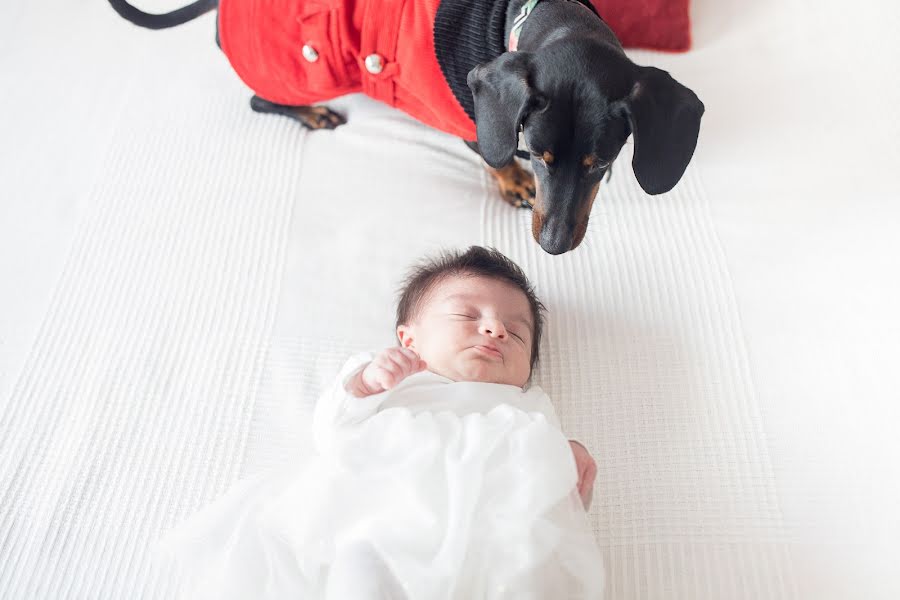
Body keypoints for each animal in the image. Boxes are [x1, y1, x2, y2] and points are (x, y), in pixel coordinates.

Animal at [109, 0, 704, 255]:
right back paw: (313, 114)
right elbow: (487, 152)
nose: (554, 248)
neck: (525, 16)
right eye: (537, 156)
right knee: (261, 100)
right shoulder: (469, 112)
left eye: (600, 164)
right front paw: (511, 181)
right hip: (292, 76)